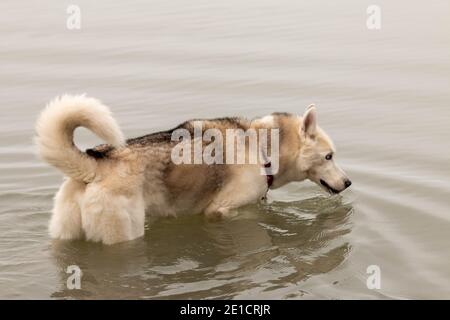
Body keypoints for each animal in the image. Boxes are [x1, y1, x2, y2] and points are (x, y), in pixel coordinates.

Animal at [35, 95, 352, 245]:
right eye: (329, 156)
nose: (348, 182)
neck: (261, 148)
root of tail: (96, 163)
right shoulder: (221, 211)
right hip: (123, 235)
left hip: (65, 234)